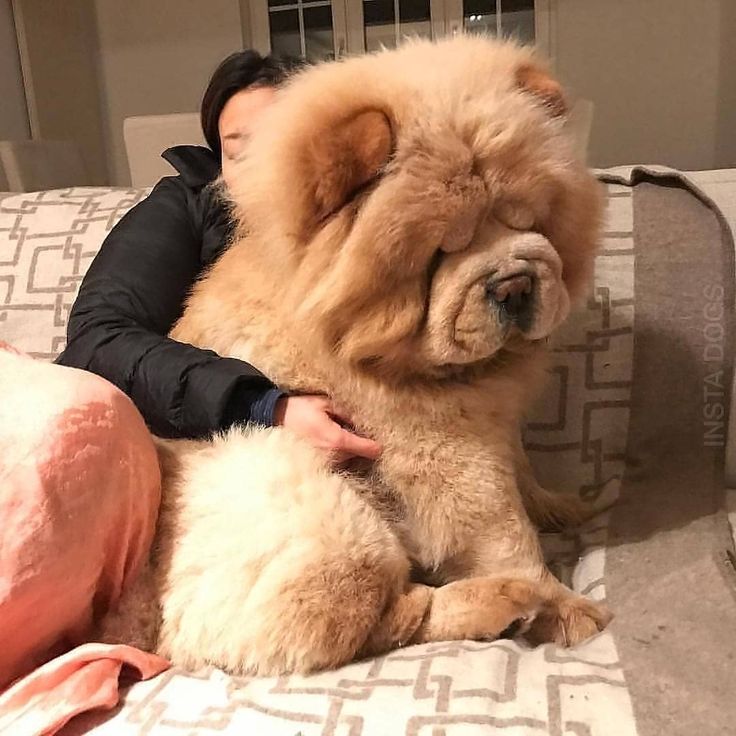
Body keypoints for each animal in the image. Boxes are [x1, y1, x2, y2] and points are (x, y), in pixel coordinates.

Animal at [102, 37, 608, 676]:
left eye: (529, 220)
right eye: (440, 251)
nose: (515, 285)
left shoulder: (493, 421)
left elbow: (523, 474)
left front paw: (560, 507)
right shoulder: (448, 450)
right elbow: (505, 529)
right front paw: (565, 606)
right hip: (323, 519)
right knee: (384, 616)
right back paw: (508, 601)